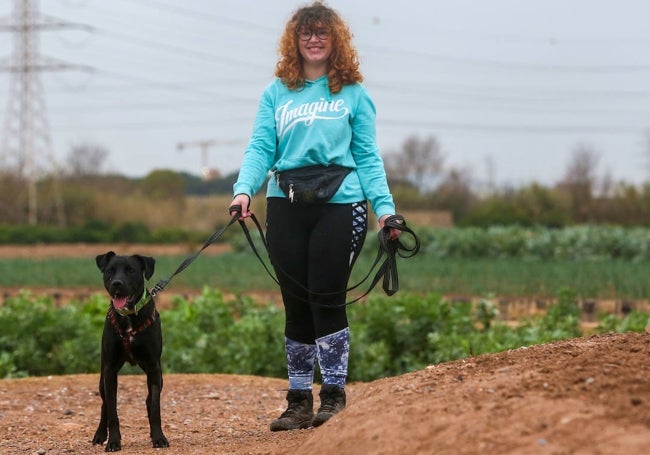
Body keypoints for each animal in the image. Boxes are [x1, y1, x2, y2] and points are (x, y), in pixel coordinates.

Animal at [94, 253, 171, 452]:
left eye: (131, 270)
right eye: (110, 271)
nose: (117, 283)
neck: (128, 317)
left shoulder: (153, 367)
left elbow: (155, 406)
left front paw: (159, 437)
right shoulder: (110, 370)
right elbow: (112, 410)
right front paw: (113, 441)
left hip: (159, 377)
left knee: (149, 399)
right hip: (102, 378)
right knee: (104, 404)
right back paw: (100, 434)